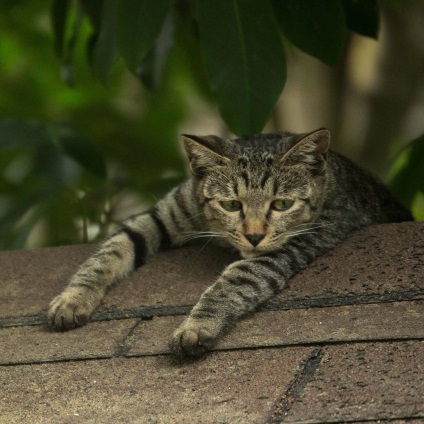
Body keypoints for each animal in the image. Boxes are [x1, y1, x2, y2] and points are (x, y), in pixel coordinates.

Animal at [47, 128, 414, 354]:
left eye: (282, 204)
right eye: (231, 205)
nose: (253, 235)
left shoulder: (301, 240)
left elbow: (237, 278)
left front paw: (197, 325)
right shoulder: (161, 215)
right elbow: (108, 252)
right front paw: (73, 298)